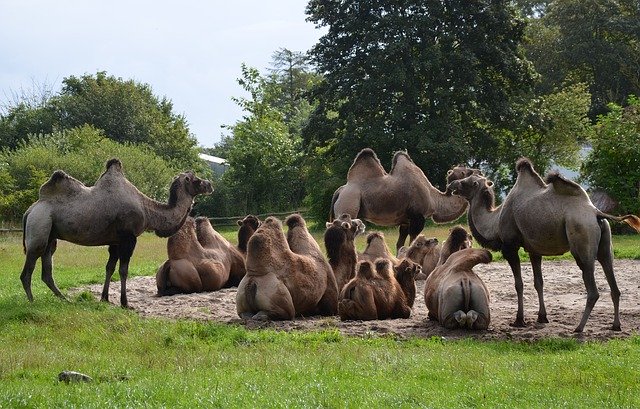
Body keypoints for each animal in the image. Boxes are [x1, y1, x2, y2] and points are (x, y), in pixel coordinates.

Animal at [21, 158, 212, 307]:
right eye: (195, 179)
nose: (210, 184)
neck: (147, 210)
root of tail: (30, 210)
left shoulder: (115, 241)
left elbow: (109, 268)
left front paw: (104, 299)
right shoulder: (129, 238)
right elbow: (123, 270)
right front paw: (125, 303)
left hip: (50, 236)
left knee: (47, 270)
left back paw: (65, 299)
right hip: (39, 226)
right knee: (28, 269)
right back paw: (31, 302)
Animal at [330, 148, 470, 250]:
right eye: (466, 171)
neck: (434, 199)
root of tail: (339, 191)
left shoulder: (405, 221)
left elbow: (400, 244)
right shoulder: (418, 217)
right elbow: (413, 241)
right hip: (348, 204)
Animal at [446, 158, 640, 332]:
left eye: (468, 181)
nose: (452, 184)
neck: (494, 221)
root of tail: (596, 212)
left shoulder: (510, 246)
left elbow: (519, 284)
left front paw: (519, 320)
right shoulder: (534, 249)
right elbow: (538, 282)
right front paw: (542, 317)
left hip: (582, 238)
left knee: (592, 288)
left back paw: (579, 328)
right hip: (605, 244)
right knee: (613, 282)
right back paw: (616, 326)